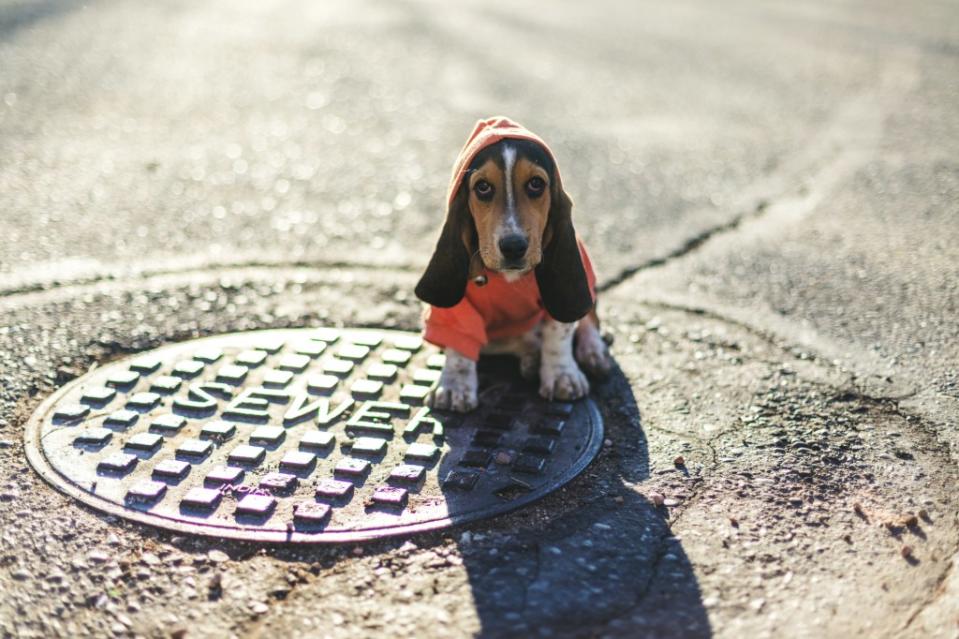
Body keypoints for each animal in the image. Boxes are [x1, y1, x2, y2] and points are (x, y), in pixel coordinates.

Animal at [414, 117, 612, 412]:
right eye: (483, 187)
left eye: (536, 184)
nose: (513, 246)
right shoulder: (457, 307)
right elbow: (459, 345)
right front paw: (453, 387)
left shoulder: (570, 289)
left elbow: (559, 331)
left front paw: (562, 375)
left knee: (588, 319)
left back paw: (592, 351)